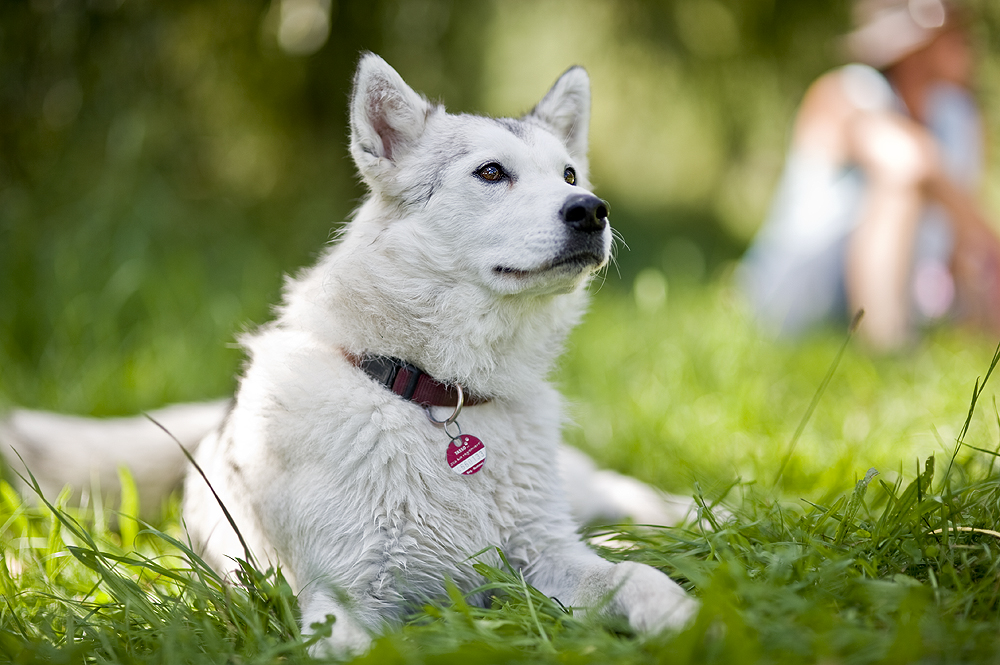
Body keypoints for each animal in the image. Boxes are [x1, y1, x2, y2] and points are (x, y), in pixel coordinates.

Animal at [1, 53, 696, 652]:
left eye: (569, 176)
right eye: (492, 173)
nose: (592, 211)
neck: (435, 397)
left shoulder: (547, 553)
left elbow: (638, 579)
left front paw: (689, 618)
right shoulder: (349, 598)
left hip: (577, 491)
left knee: (626, 494)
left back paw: (693, 515)